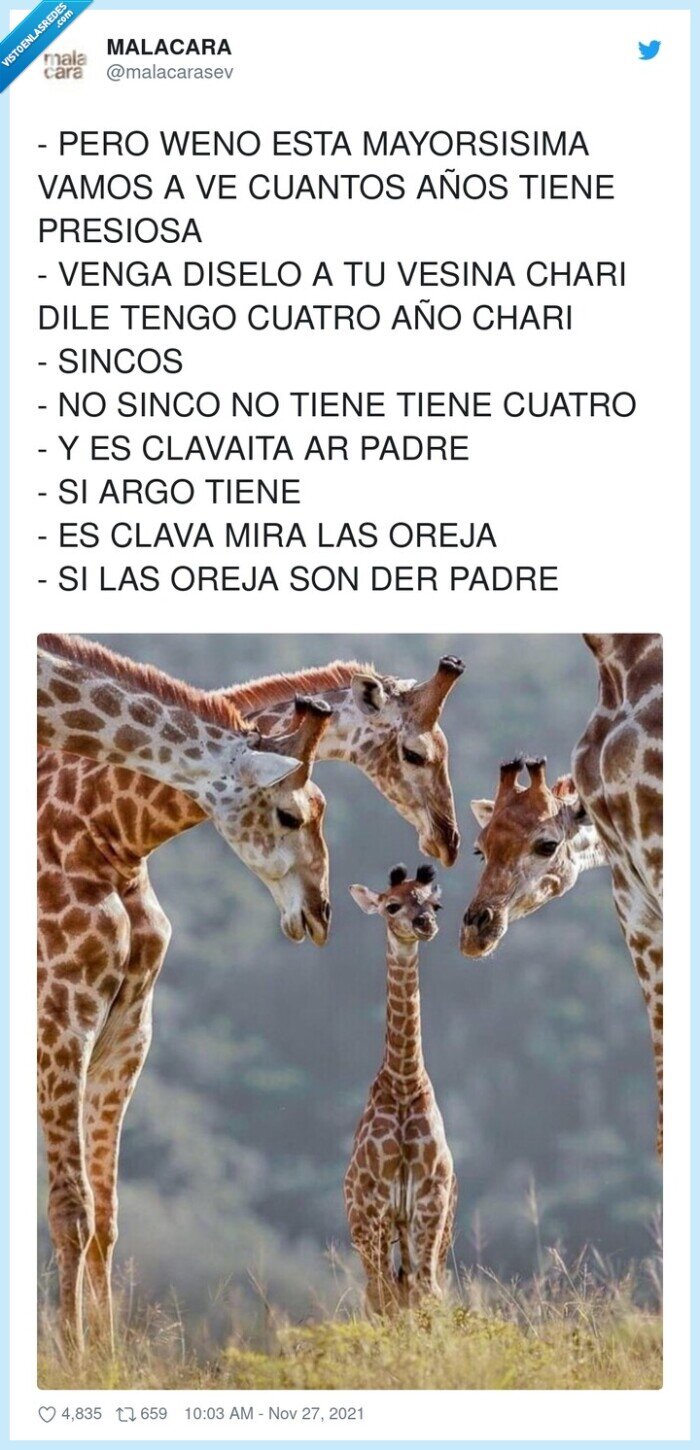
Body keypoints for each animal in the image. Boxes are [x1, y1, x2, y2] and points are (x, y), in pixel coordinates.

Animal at [37, 634, 332, 1351]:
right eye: (289, 813)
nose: (321, 914)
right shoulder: (59, 1016)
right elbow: (71, 1207)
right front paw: (73, 1355)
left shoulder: (125, 1030)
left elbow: (105, 1215)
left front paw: (103, 1356)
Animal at [344, 864, 457, 1314]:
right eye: (391, 906)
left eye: (434, 904)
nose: (424, 924)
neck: (405, 1081)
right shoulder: (374, 1205)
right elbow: (383, 1297)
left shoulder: (430, 1199)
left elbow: (428, 1292)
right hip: (368, 1226)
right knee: (381, 1293)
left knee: (414, 1288)